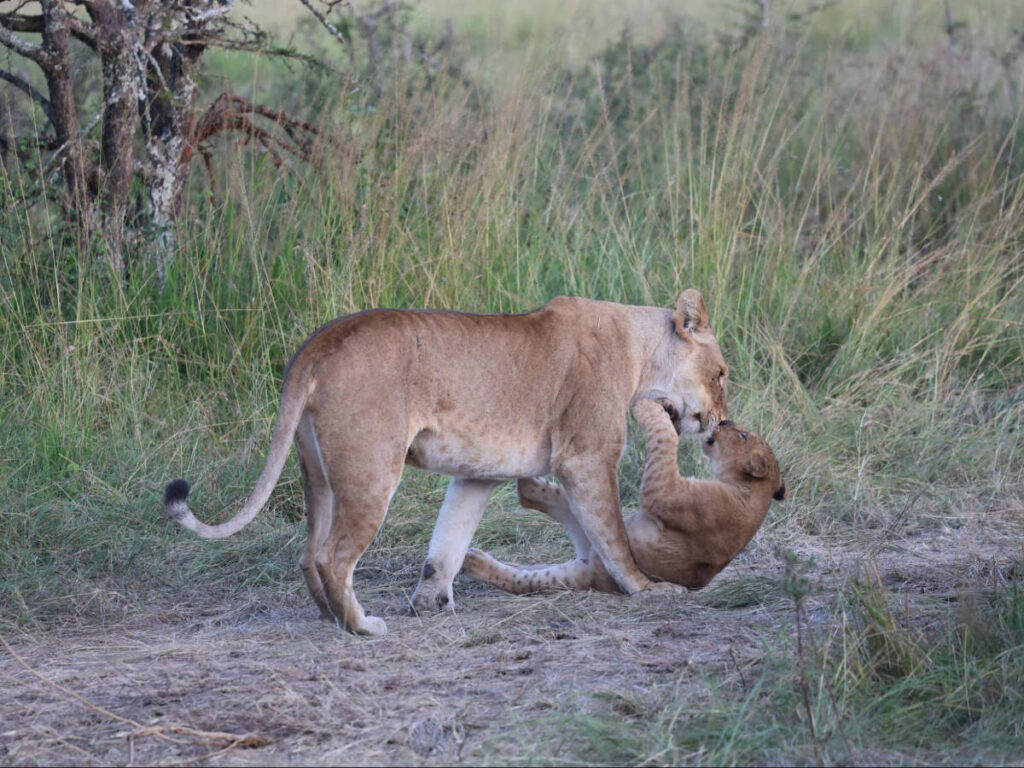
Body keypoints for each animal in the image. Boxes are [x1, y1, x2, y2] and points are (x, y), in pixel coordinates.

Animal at [163, 291, 727, 635]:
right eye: (721, 373)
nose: (721, 422)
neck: (640, 351)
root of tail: (320, 341)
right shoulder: (586, 457)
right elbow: (613, 536)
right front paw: (648, 589)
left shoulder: (478, 473)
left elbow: (449, 542)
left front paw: (432, 599)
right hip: (372, 468)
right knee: (333, 556)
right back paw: (363, 627)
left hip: (316, 472)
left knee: (308, 553)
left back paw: (332, 620)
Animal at [463, 397, 785, 595]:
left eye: (743, 436)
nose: (726, 422)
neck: (753, 494)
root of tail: (591, 567)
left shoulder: (664, 492)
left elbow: (665, 439)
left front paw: (646, 407)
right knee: (551, 498)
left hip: (587, 565)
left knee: (522, 581)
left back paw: (472, 560)